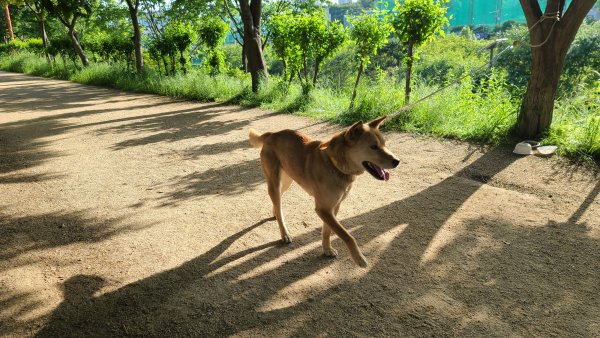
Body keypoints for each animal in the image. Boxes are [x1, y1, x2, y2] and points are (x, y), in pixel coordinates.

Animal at [248, 117, 398, 268]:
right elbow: (347, 236)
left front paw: (327, 249)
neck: (335, 165)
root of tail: (272, 134)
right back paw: (284, 233)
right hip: (275, 183)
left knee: (277, 202)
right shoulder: (323, 209)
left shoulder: (332, 208)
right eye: (373, 147)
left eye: (384, 144)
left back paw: (275, 213)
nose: (397, 161)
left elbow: (327, 231)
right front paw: (359, 258)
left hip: (286, 182)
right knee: (279, 207)